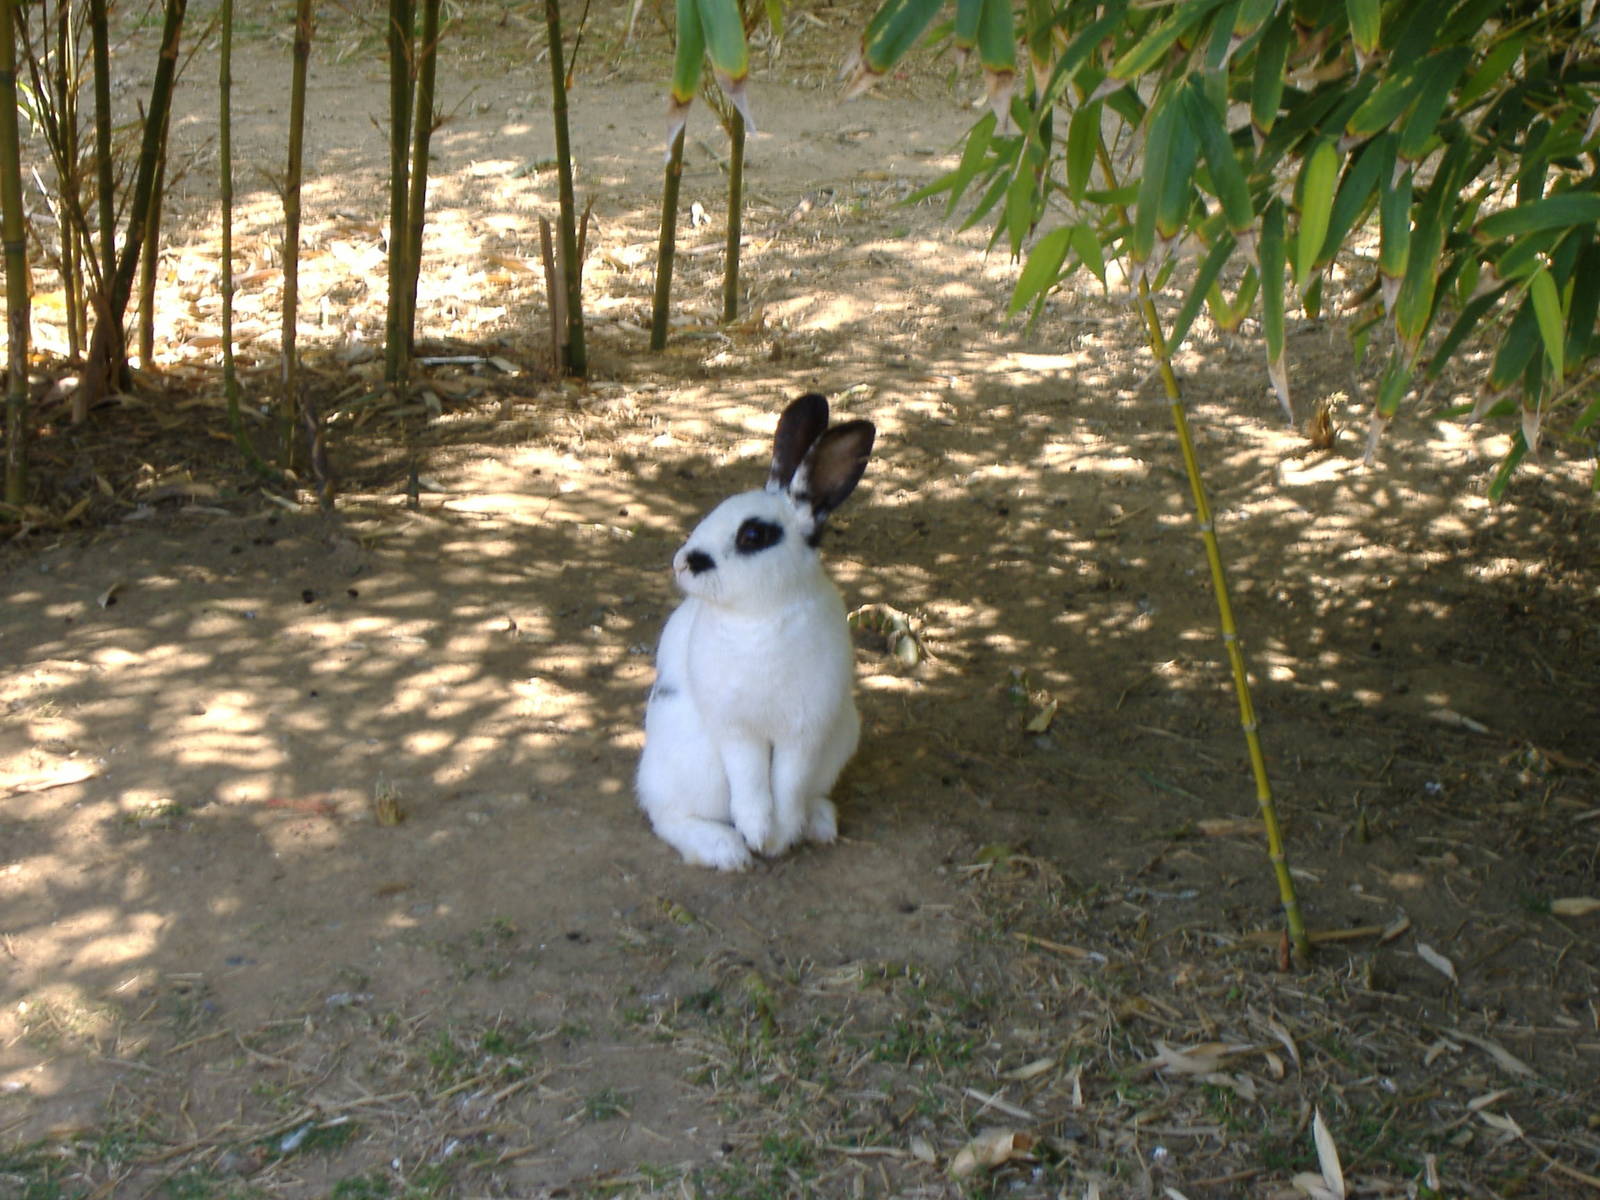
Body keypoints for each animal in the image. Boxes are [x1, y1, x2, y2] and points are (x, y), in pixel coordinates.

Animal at [636, 393, 877, 871]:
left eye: (753, 535)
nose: (682, 563)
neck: (760, 618)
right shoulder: (736, 729)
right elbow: (750, 783)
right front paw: (758, 836)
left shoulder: (805, 731)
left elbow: (788, 785)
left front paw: (780, 836)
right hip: (694, 766)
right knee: (667, 815)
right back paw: (725, 850)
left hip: (841, 736)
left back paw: (817, 822)